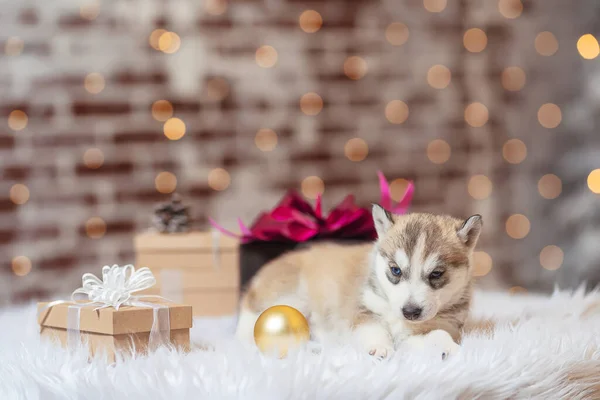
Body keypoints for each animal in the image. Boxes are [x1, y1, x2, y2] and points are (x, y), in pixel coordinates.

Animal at [236, 205, 482, 358]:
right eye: (395, 270)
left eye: (436, 274)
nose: (410, 312)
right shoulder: (363, 309)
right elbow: (372, 329)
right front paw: (378, 348)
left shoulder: (432, 328)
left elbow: (437, 334)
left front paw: (449, 348)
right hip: (291, 296)